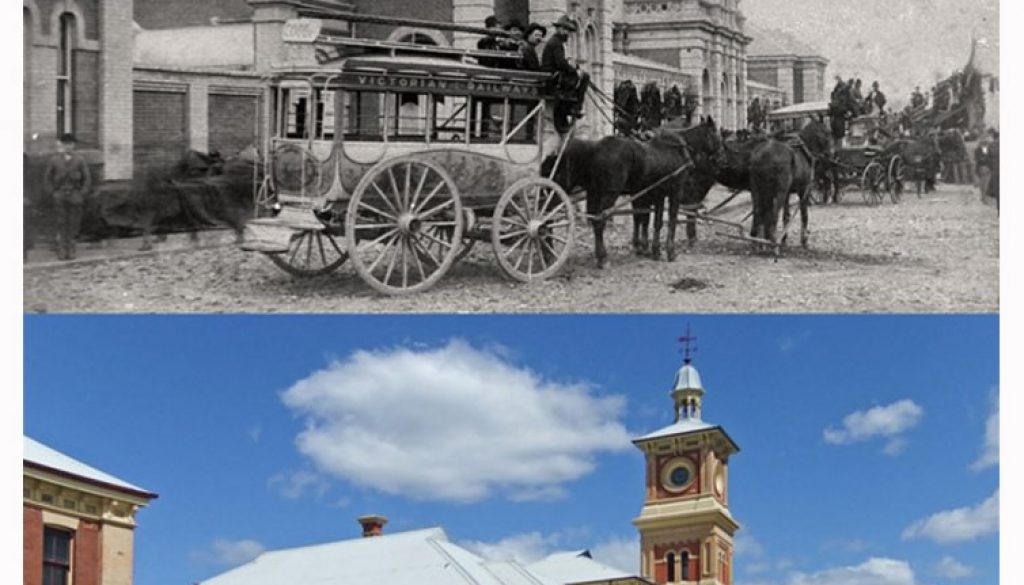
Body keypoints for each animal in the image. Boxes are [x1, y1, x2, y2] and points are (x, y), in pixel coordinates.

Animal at [540, 129, 692, 268]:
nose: (691, 165)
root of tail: (594, 149)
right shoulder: (675, 193)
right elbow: (671, 221)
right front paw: (670, 252)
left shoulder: (658, 194)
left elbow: (656, 222)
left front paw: (654, 251)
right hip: (605, 194)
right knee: (597, 220)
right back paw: (602, 258)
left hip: (591, 193)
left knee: (553, 218)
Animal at [749, 118, 835, 246]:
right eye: (827, 133)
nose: (830, 155)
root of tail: (762, 156)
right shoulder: (804, 190)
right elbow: (804, 214)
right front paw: (804, 239)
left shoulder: (788, 193)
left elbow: (786, 215)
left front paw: (784, 238)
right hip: (779, 191)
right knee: (773, 214)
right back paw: (772, 240)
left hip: (758, 190)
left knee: (759, 212)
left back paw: (758, 241)